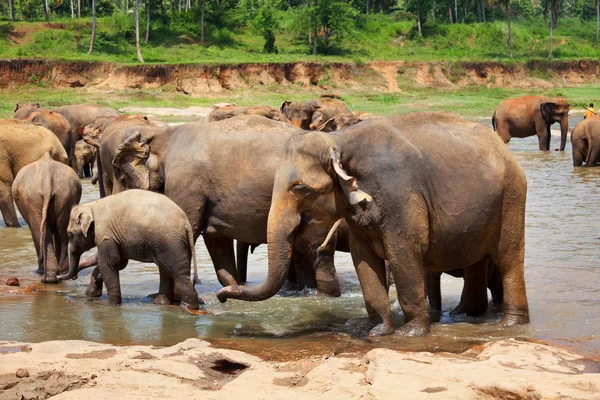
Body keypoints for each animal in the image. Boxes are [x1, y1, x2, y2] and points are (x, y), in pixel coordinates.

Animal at [11, 153, 82, 282]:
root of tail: (47, 180)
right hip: (65, 196)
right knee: (61, 232)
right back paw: (60, 273)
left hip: (33, 199)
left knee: (38, 231)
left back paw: (45, 275)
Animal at [58, 188, 200, 310]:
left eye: (69, 234)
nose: (60, 277)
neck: (91, 205)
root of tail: (185, 221)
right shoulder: (115, 238)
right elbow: (119, 262)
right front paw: (90, 294)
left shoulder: (105, 235)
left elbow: (109, 263)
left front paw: (111, 305)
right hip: (176, 243)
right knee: (165, 269)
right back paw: (160, 304)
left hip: (170, 242)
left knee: (177, 272)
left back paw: (188, 308)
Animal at [217, 111, 528, 338]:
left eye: (300, 188)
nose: (221, 297)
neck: (340, 141)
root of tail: (505, 150)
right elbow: (364, 260)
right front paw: (372, 331)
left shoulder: (400, 193)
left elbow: (404, 254)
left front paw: (408, 334)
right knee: (477, 260)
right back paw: (465, 315)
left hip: (512, 197)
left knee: (508, 258)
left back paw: (509, 325)